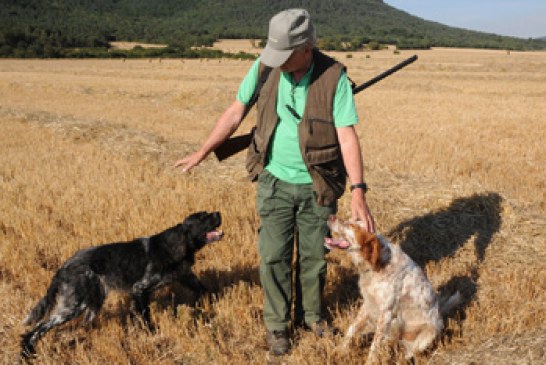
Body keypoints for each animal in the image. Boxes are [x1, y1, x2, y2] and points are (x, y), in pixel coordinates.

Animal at [21, 212, 221, 356]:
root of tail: (64, 267)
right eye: (203, 217)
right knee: (35, 330)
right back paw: (27, 354)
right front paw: (152, 335)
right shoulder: (140, 289)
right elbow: (146, 317)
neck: (175, 245)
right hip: (73, 305)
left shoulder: (184, 277)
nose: (218, 213)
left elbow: (205, 292)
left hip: (90, 302)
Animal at [324, 215, 460, 360]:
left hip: (429, 333)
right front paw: (339, 350)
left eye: (352, 226)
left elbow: (375, 345)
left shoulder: (386, 312)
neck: (379, 265)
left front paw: (370, 361)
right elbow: (352, 328)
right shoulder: (369, 303)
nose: (330, 216)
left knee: (409, 352)